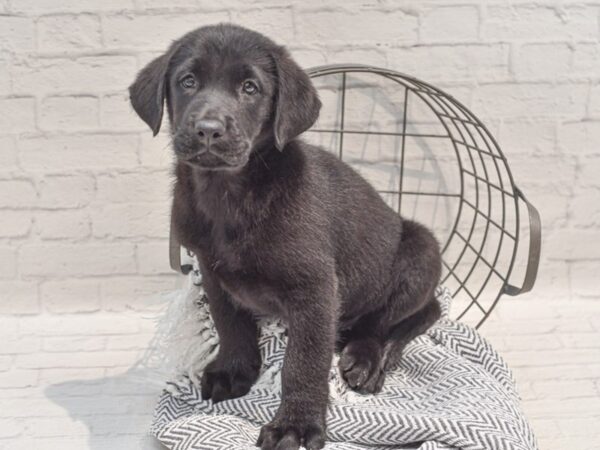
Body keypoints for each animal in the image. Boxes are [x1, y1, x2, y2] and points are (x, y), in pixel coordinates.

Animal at [130, 24, 440, 450]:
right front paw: (233, 371)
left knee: (411, 314)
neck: (230, 194)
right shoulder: (211, 272)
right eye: (187, 81)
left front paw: (296, 424)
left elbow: (303, 362)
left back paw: (367, 359)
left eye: (250, 88)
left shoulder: (315, 287)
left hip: (421, 250)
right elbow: (231, 324)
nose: (208, 130)